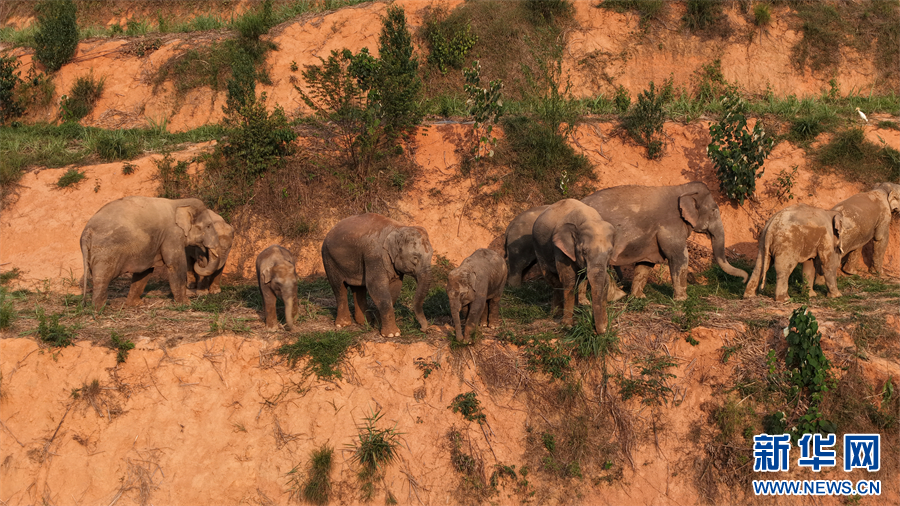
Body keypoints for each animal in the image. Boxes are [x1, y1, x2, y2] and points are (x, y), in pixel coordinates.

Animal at [80, 196, 233, 308]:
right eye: (208, 226)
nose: (202, 258)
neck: (179, 202)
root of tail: (87, 231)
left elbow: (146, 270)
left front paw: (136, 304)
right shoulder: (172, 234)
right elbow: (176, 264)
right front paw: (186, 304)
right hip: (105, 251)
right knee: (102, 277)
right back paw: (99, 309)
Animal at [532, 199, 616, 334]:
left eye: (610, 252)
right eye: (584, 251)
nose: (602, 330)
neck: (589, 218)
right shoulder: (560, 249)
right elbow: (569, 281)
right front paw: (567, 325)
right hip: (538, 247)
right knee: (553, 279)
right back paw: (556, 314)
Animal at [581, 182, 749, 301]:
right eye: (714, 211)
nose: (743, 281)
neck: (682, 188)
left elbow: (646, 263)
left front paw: (639, 297)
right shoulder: (671, 225)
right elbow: (680, 257)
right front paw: (682, 300)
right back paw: (615, 296)